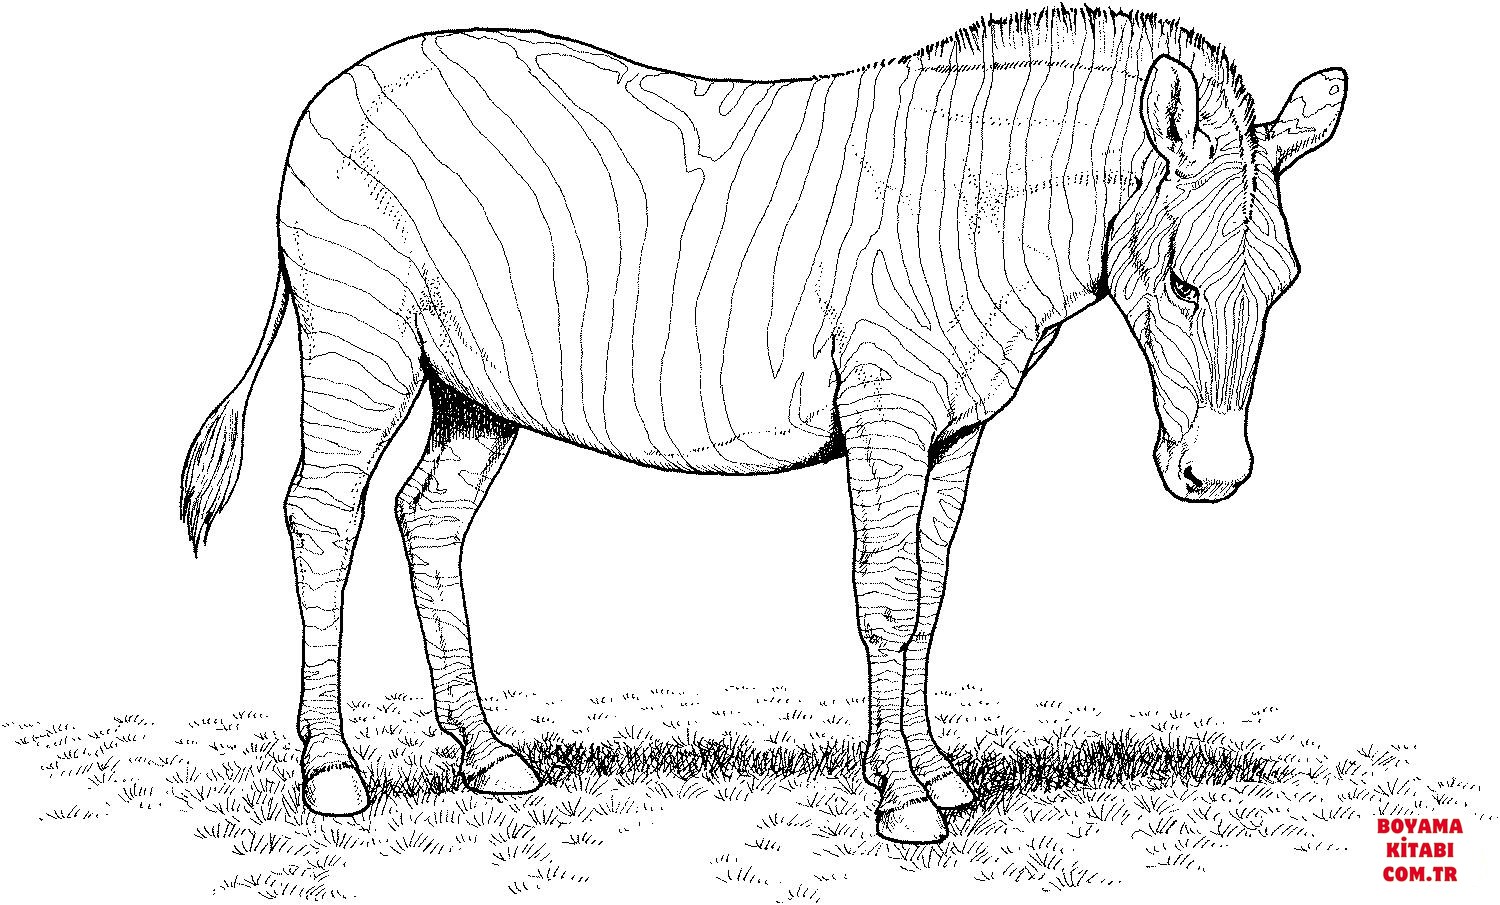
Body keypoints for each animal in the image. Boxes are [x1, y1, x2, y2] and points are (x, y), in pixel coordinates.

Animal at [180, 8, 1346, 843]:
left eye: (1285, 285)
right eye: (1182, 280)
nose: (1216, 474)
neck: (967, 210)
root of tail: (339, 87)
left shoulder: (955, 431)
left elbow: (929, 594)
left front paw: (932, 770)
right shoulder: (887, 411)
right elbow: (884, 598)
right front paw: (903, 801)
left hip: (473, 388)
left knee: (427, 517)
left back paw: (489, 754)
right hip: (361, 342)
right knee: (322, 513)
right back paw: (332, 772)